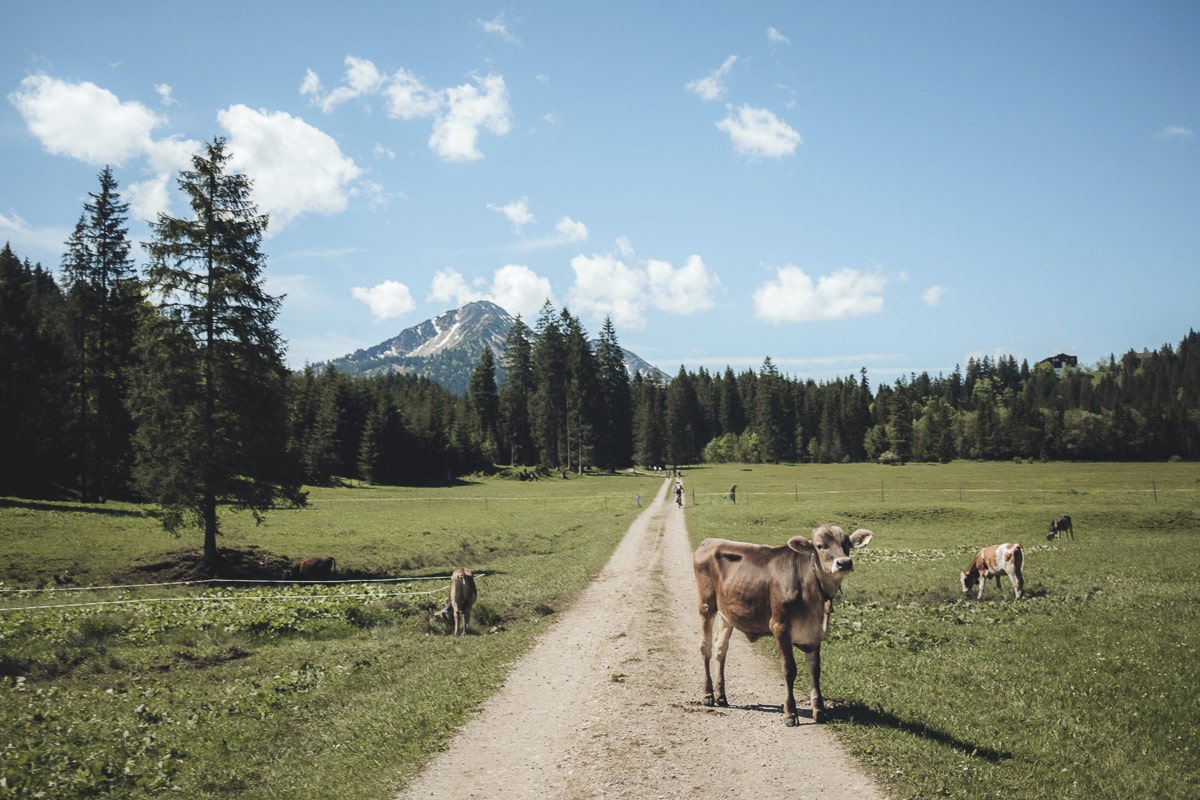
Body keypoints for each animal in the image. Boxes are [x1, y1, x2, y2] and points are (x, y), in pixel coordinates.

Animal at [696, 522, 873, 729]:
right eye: (820, 546)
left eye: (846, 543)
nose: (844, 562)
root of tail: (710, 540)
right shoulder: (779, 627)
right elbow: (789, 669)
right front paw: (790, 713)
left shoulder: (815, 634)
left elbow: (815, 670)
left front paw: (819, 711)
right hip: (706, 606)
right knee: (706, 648)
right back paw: (708, 694)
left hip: (727, 614)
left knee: (720, 650)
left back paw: (721, 695)